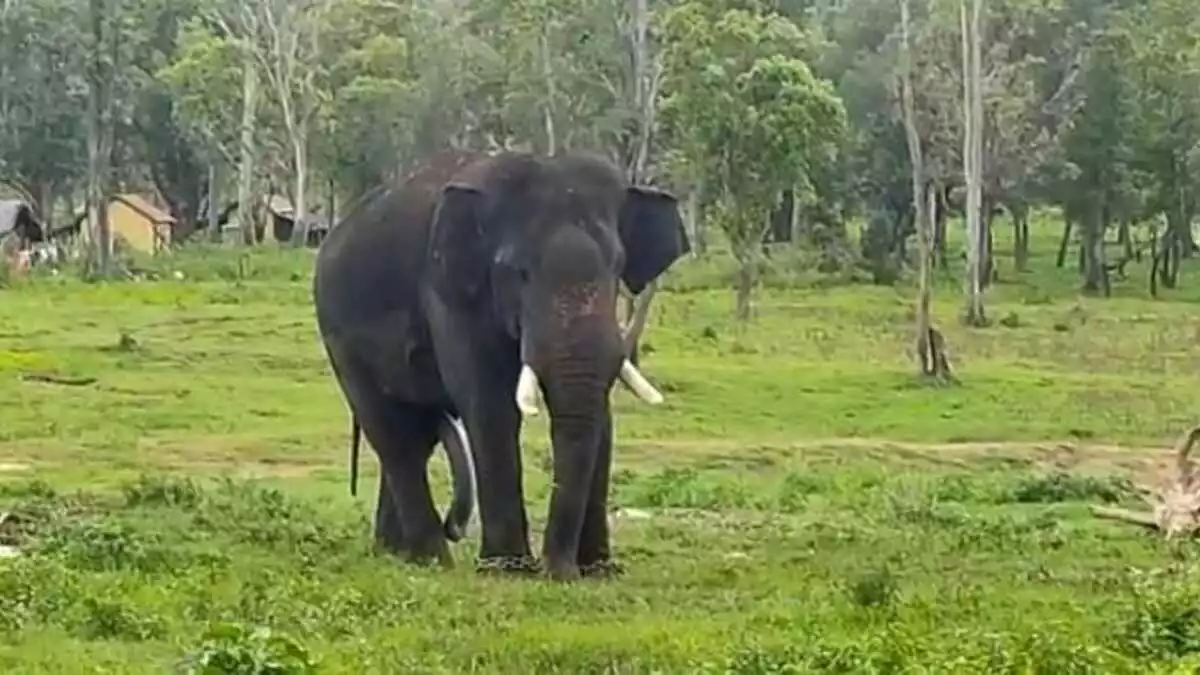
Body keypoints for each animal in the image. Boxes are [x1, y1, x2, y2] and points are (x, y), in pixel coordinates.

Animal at [314, 148, 691, 578]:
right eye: (519, 272)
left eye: (617, 266)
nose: (557, 570)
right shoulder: (449, 292)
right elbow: (490, 404)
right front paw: (507, 569)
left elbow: (601, 413)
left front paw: (599, 571)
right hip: (338, 335)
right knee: (395, 436)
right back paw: (432, 559)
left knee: (417, 434)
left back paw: (397, 554)